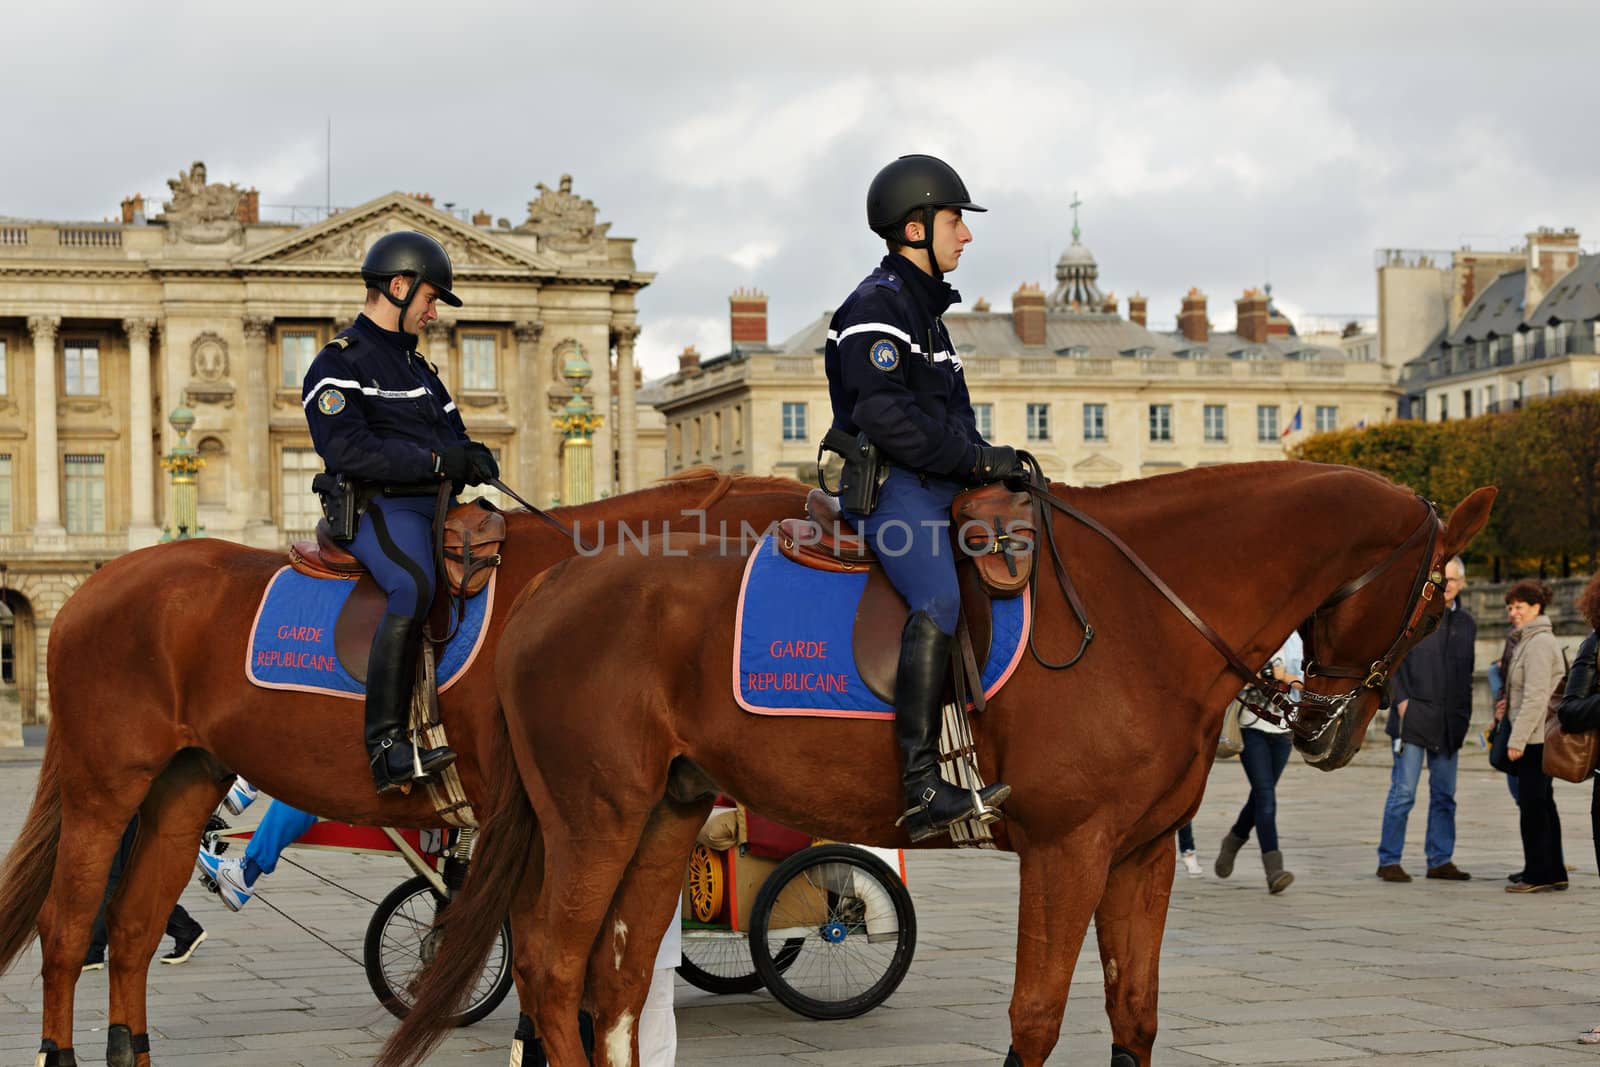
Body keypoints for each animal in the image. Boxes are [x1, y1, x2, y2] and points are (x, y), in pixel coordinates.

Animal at [0, 473, 812, 1067]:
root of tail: (88, 588)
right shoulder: (540, 820)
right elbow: (548, 960)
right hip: (105, 786)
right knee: (67, 927)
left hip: (181, 786)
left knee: (132, 930)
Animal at [380, 463, 1491, 1067]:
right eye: (1432, 599)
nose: (1330, 729)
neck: (1143, 609)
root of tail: (550, 583)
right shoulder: (1066, 848)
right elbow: (1037, 1016)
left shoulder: (1137, 856)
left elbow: (1134, 1012)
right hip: (593, 815)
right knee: (549, 964)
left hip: (663, 813)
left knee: (609, 982)